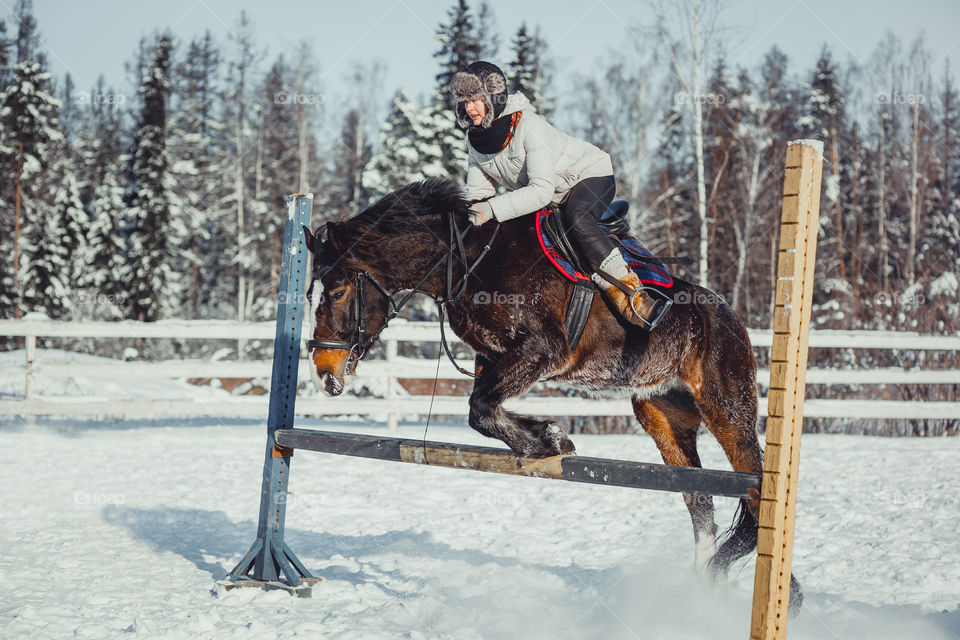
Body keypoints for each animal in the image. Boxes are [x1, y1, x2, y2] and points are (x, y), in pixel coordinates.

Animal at [304, 176, 792, 600]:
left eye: (339, 291)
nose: (326, 372)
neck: (468, 262)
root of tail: (729, 316)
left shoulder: (544, 349)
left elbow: (480, 408)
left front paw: (548, 440)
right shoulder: (493, 358)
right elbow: (483, 409)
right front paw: (547, 436)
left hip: (727, 409)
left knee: (753, 490)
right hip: (661, 416)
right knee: (698, 499)